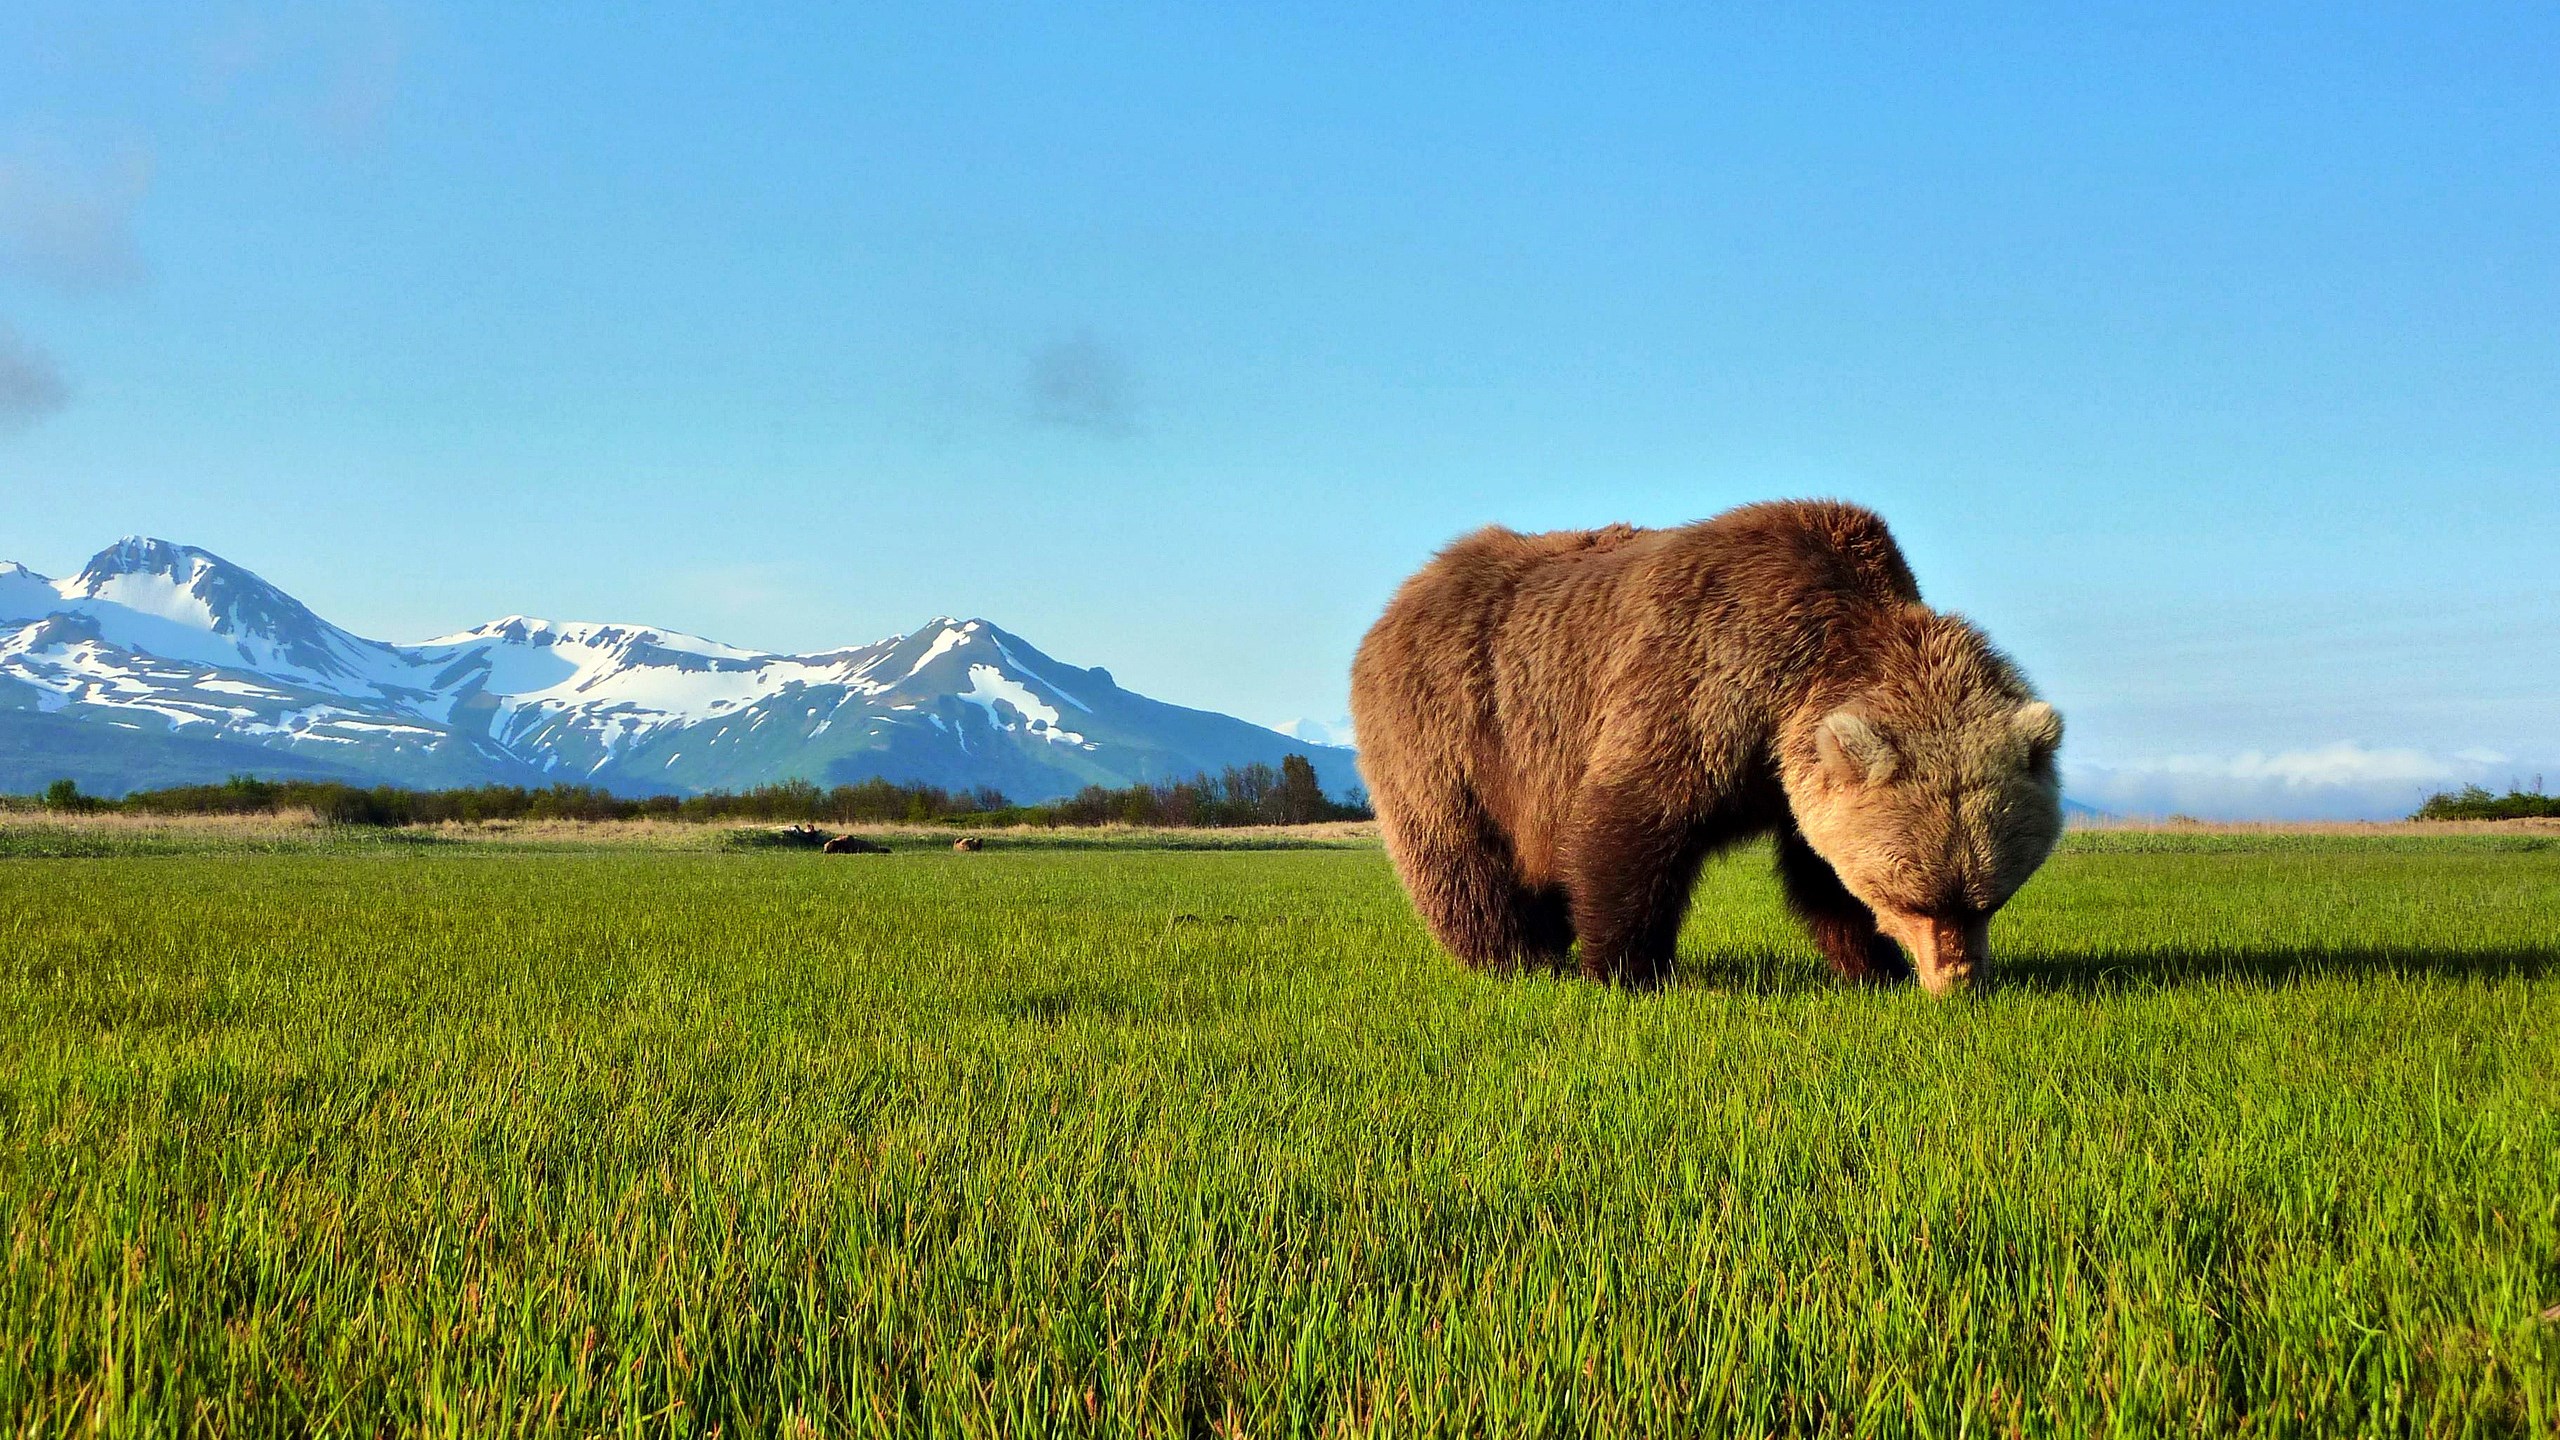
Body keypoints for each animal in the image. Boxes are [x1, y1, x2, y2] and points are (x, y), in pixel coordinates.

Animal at [1347, 500, 2062, 995]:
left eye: (1991, 897)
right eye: (1916, 897)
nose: (1959, 982)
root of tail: (1408, 589)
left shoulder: (1790, 768)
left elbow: (1819, 873)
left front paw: (1873, 965)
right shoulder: (1703, 679)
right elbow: (1632, 822)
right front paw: (1628, 970)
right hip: (1451, 727)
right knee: (1460, 856)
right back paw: (1517, 959)